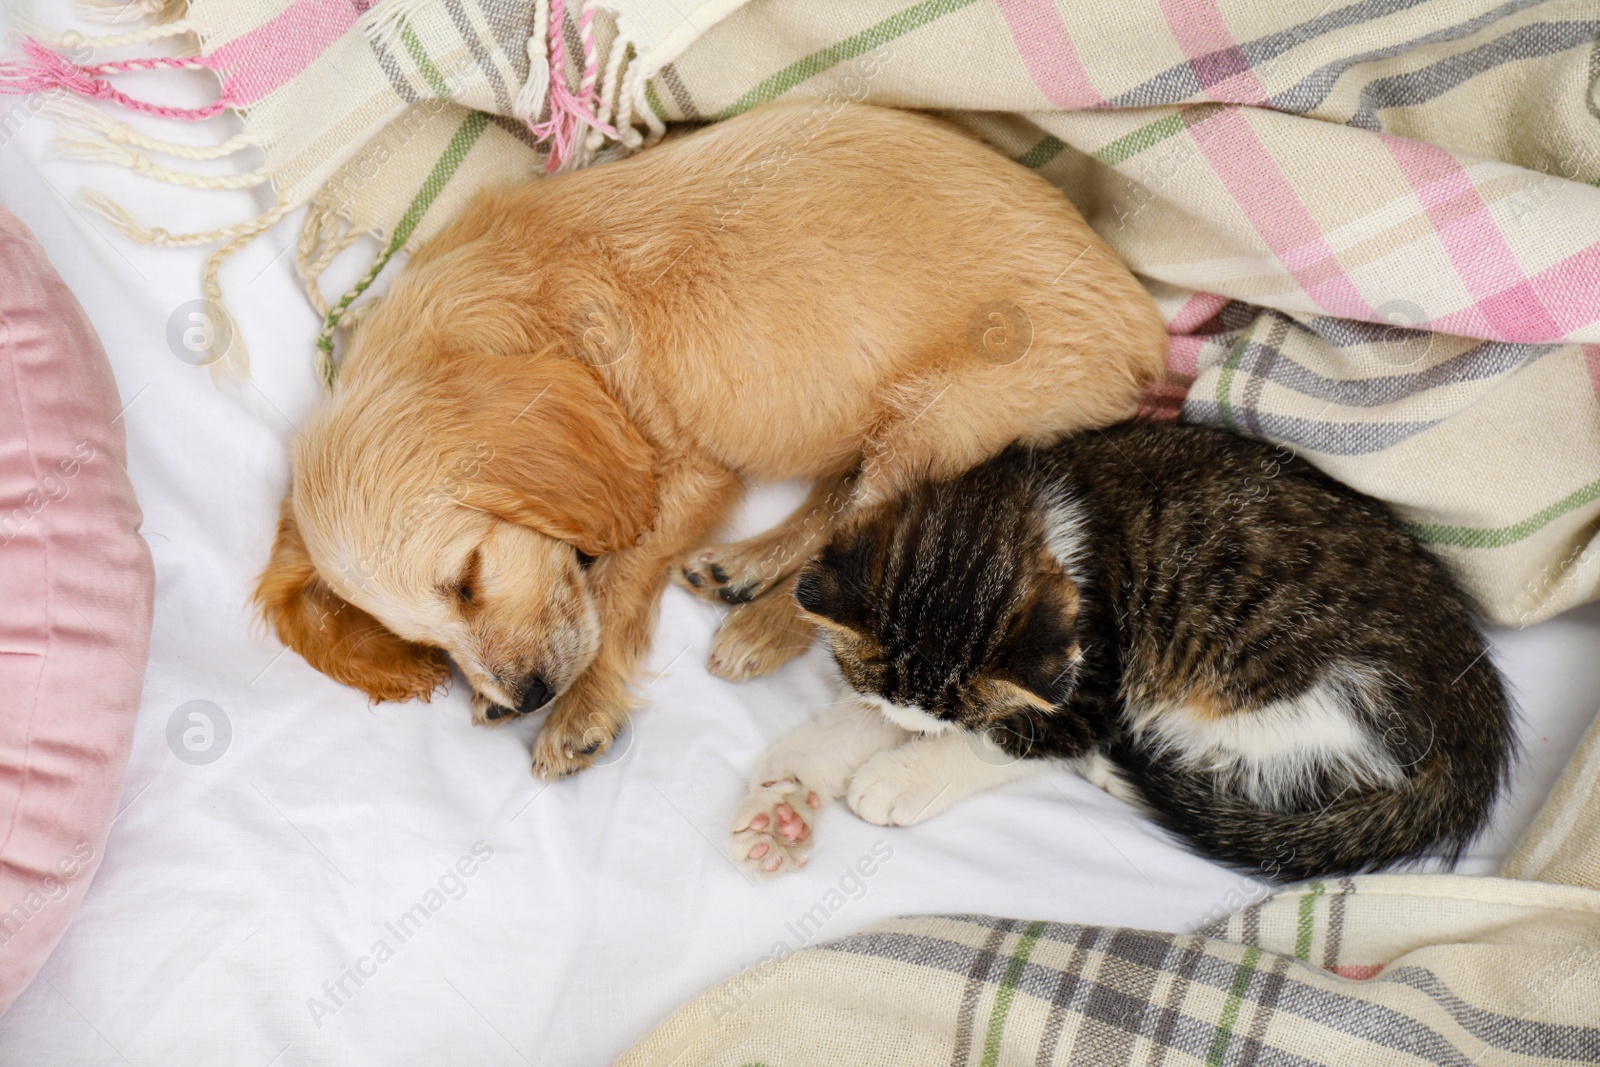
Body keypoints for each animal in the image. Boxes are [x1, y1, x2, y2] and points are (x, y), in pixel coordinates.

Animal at [256, 99, 1171, 777]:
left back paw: (764, 624)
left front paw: (584, 705)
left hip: (942, 416)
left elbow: (618, 580)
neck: (527, 308)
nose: (528, 696)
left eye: (468, 578)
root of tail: (1148, 324)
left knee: (875, 527)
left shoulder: (690, 475)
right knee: (841, 497)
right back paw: (745, 567)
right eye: (424, 638)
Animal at [732, 422, 1510, 883]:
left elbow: (1016, 737)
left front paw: (899, 776)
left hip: (1277, 694)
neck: (1032, 515)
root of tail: (1476, 720)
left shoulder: (1090, 674)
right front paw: (787, 795)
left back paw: (1121, 771)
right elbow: (873, 714)